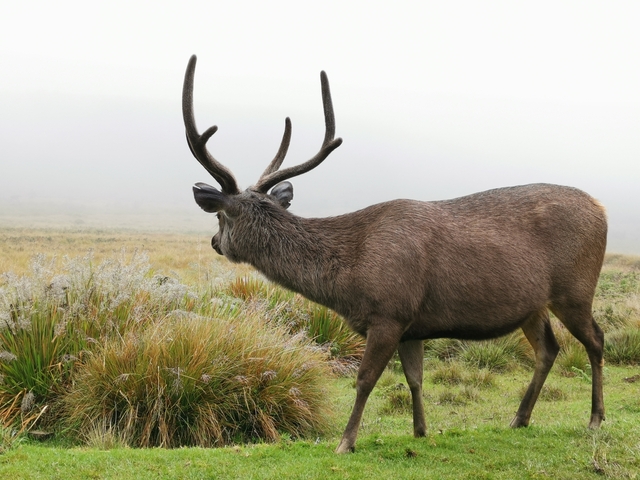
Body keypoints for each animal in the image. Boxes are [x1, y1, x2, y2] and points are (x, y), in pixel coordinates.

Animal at [182, 55, 608, 453]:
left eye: (219, 216)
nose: (215, 243)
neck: (346, 282)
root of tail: (602, 209)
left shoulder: (389, 312)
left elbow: (365, 379)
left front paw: (346, 441)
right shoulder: (412, 323)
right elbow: (415, 378)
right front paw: (420, 430)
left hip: (575, 289)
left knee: (596, 339)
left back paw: (595, 419)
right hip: (532, 305)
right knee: (548, 349)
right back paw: (519, 418)